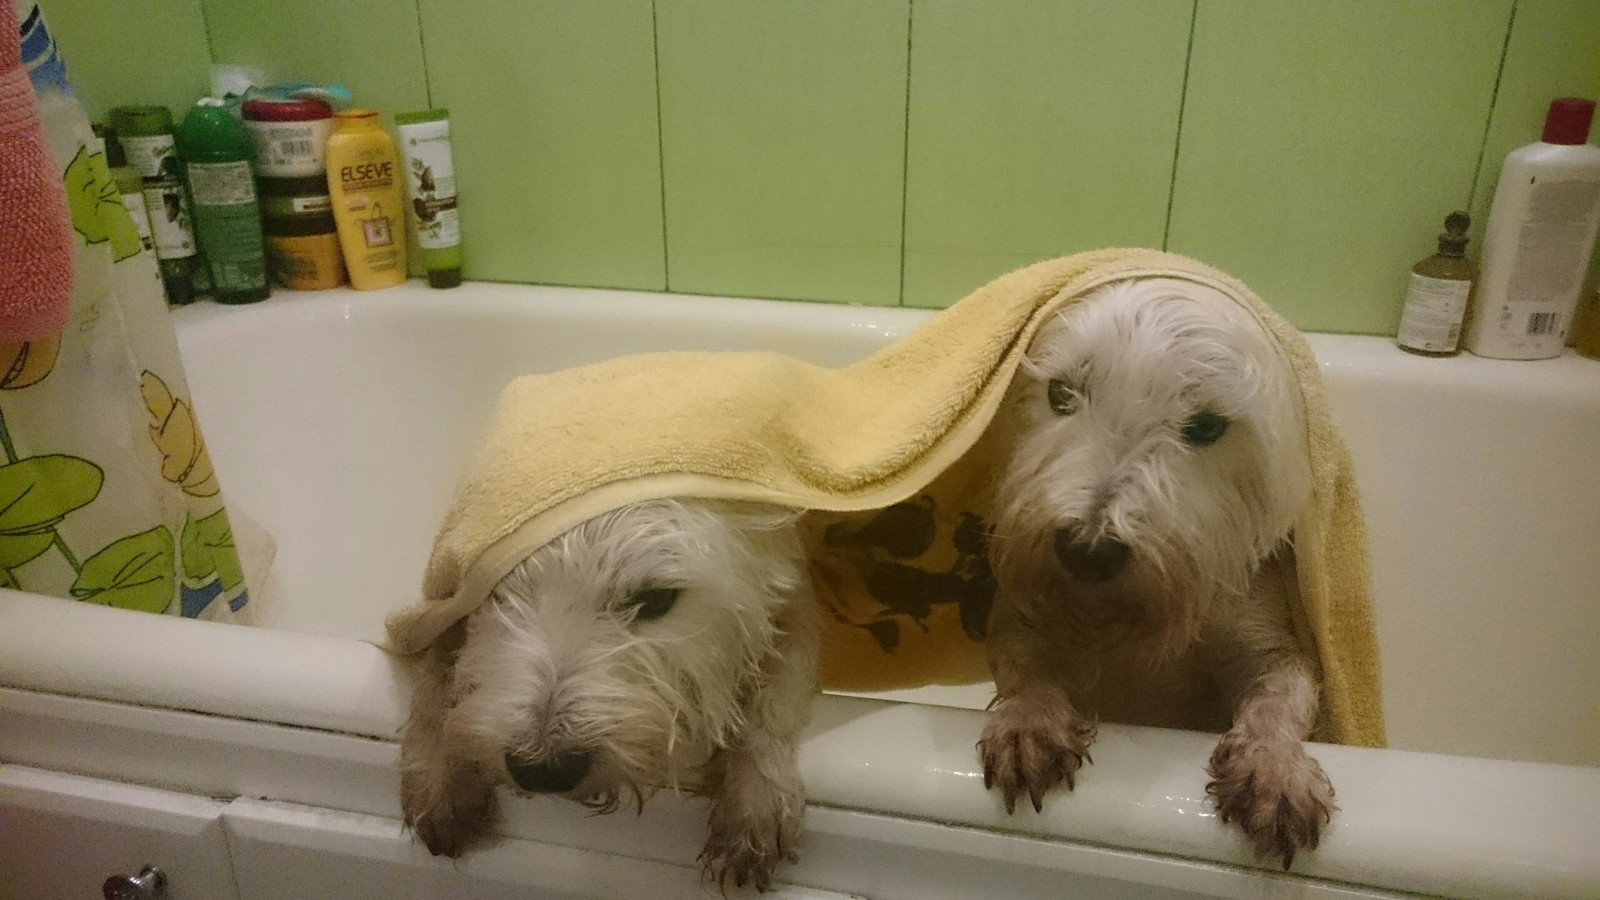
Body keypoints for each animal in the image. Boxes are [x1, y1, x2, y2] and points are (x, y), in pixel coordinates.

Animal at [400, 496, 825, 890]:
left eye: (656, 598)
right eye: (497, 595)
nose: (544, 770)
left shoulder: (787, 591)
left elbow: (776, 691)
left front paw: (754, 802)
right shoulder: (446, 600)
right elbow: (436, 666)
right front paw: (439, 778)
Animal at [972, 277, 1337, 864]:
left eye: (1207, 425)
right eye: (1060, 394)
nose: (1087, 550)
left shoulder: (1265, 636)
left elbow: (1281, 695)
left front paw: (1273, 770)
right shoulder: (1024, 611)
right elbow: (1024, 665)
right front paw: (1029, 726)